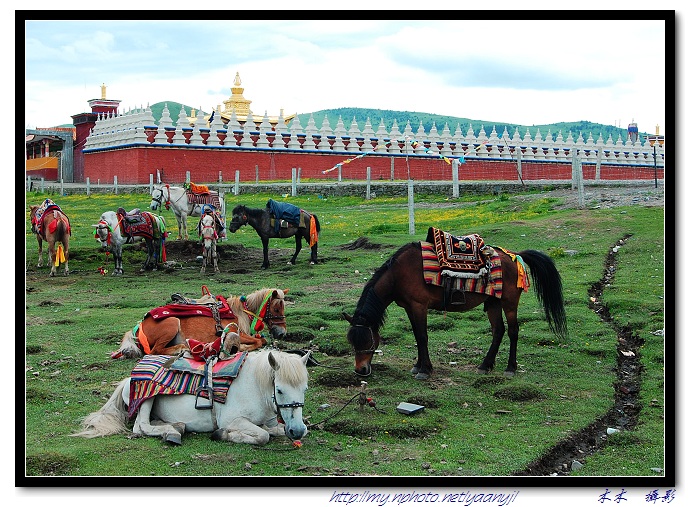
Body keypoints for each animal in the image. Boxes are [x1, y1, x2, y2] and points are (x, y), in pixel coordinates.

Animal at [72, 350, 310, 448]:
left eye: (304, 388)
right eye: (280, 390)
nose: (297, 430)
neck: (255, 386)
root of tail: (128, 378)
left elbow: (275, 430)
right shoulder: (233, 420)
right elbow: (262, 436)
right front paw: (222, 434)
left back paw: (174, 426)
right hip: (147, 396)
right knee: (141, 426)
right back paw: (173, 431)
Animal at [112, 288, 288, 360]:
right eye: (276, 308)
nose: (282, 333)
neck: (239, 312)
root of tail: (139, 326)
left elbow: (260, 339)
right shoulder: (234, 331)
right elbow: (259, 341)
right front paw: (243, 347)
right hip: (172, 322)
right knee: (154, 351)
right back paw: (181, 348)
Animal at [342, 240, 568, 380]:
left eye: (367, 341)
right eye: (352, 342)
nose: (360, 370)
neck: (398, 274)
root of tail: (515, 256)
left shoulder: (419, 306)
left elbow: (422, 336)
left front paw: (425, 370)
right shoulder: (409, 308)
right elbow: (416, 335)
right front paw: (418, 365)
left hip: (509, 303)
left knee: (513, 331)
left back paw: (510, 368)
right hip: (493, 302)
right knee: (498, 331)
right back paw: (485, 365)